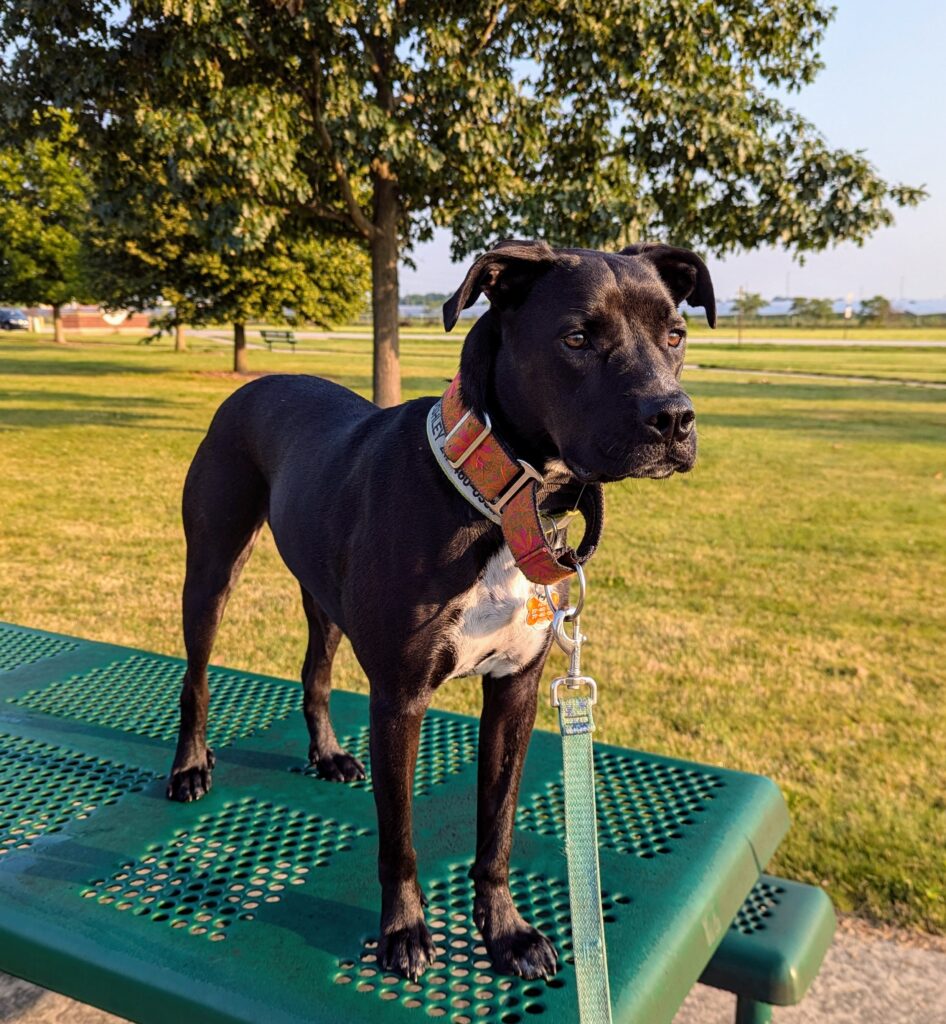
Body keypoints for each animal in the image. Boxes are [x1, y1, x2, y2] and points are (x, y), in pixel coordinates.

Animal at [167, 241, 716, 983]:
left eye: (676, 335)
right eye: (576, 338)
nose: (675, 419)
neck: (498, 501)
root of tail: (256, 384)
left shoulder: (515, 692)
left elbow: (498, 828)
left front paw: (506, 930)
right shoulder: (400, 698)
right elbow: (398, 838)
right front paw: (404, 929)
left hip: (323, 597)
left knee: (315, 673)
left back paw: (328, 754)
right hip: (212, 570)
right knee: (195, 679)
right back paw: (190, 767)